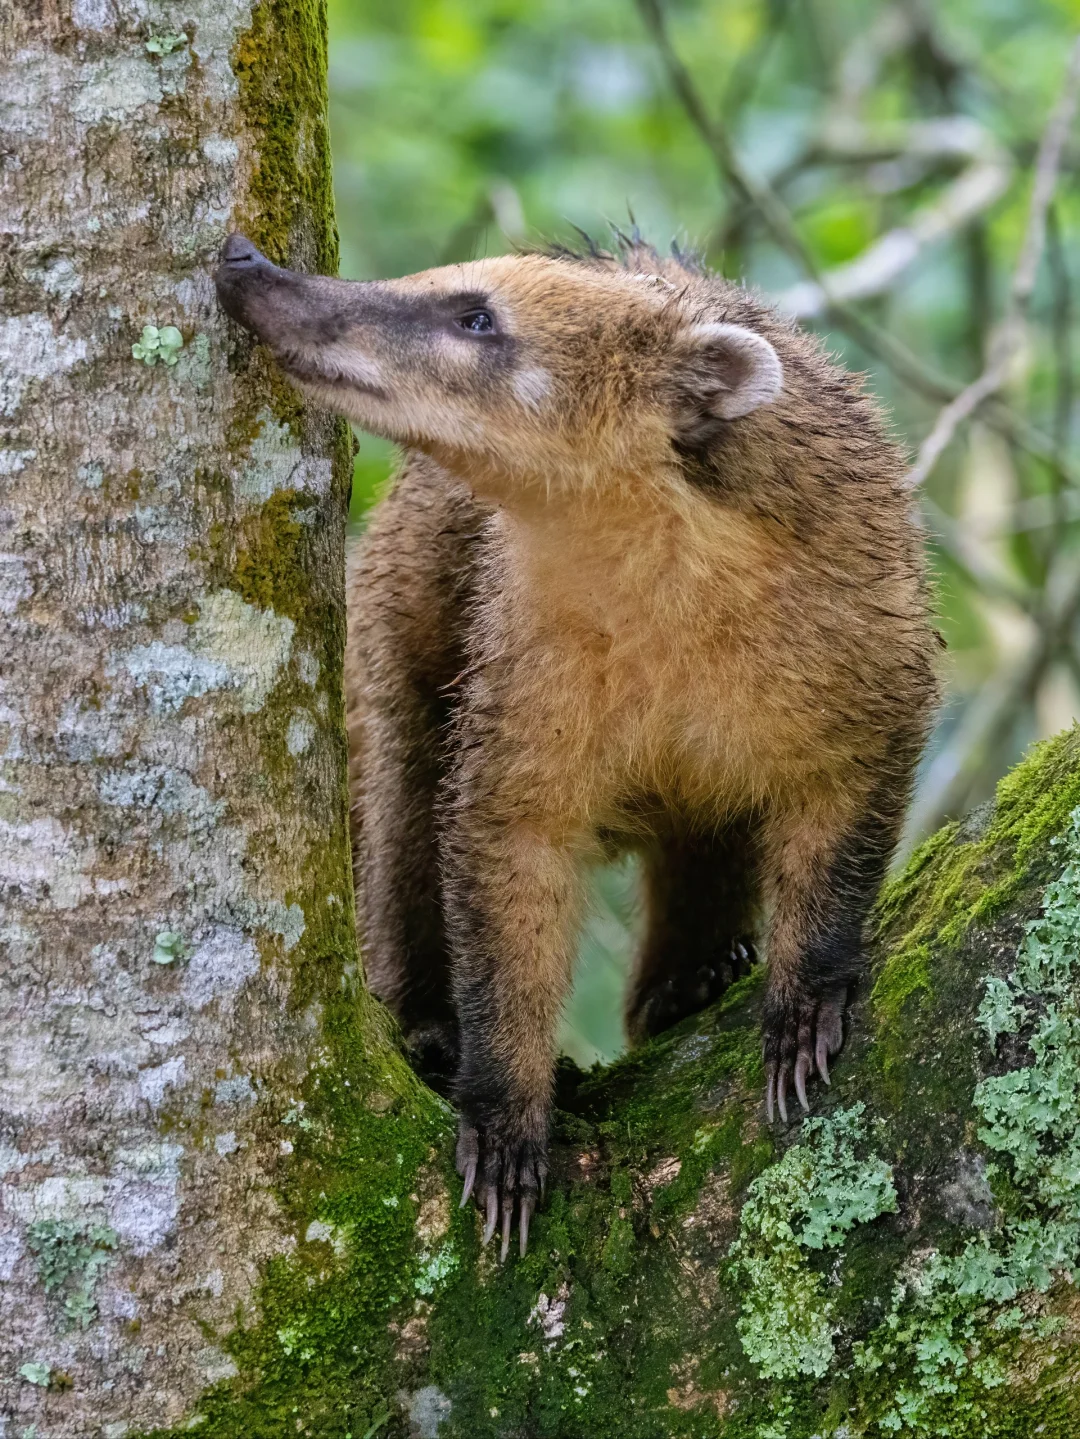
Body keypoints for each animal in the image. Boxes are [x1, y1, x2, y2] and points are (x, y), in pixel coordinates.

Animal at [215, 232, 938, 1261]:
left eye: (476, 317)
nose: (245, 262)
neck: (656, 573)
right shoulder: (518, 659)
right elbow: (502, 850)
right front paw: (505, 1110)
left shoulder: (867, 624)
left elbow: (848, 798)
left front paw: (805, 997)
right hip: (399, 629)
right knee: (403, 813)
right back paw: (429, 1018)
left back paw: (690, 972)